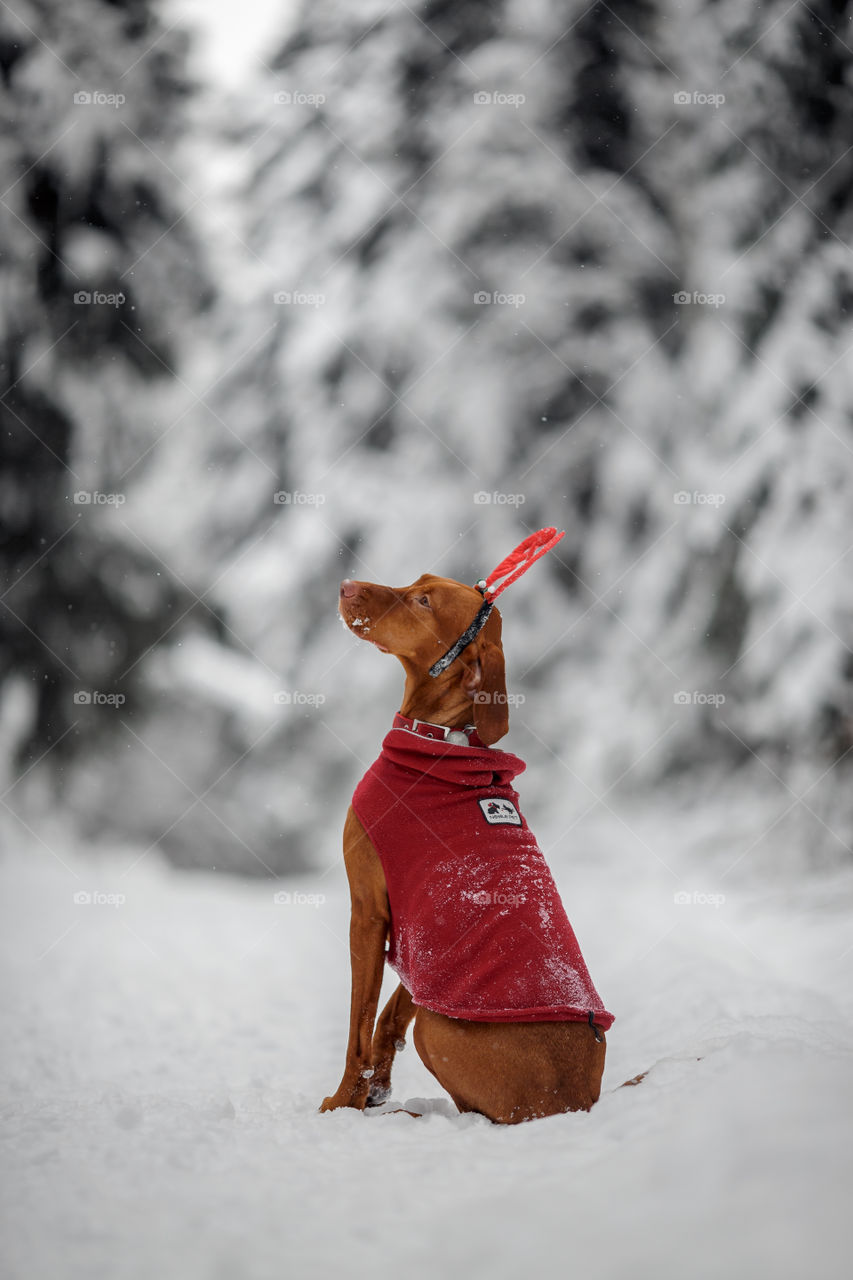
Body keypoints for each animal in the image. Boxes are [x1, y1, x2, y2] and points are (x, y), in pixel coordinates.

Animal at [318, 570, 604, 1121]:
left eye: (424, 602)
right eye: (416, 582)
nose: (345, 586)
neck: (442, 738)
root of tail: (576, 1102)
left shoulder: (368, 912)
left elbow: (358, 1027)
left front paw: (342, 1103)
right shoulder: (428, 948)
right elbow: (391, 1012)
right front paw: (374, 1089)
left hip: (440, 1030)